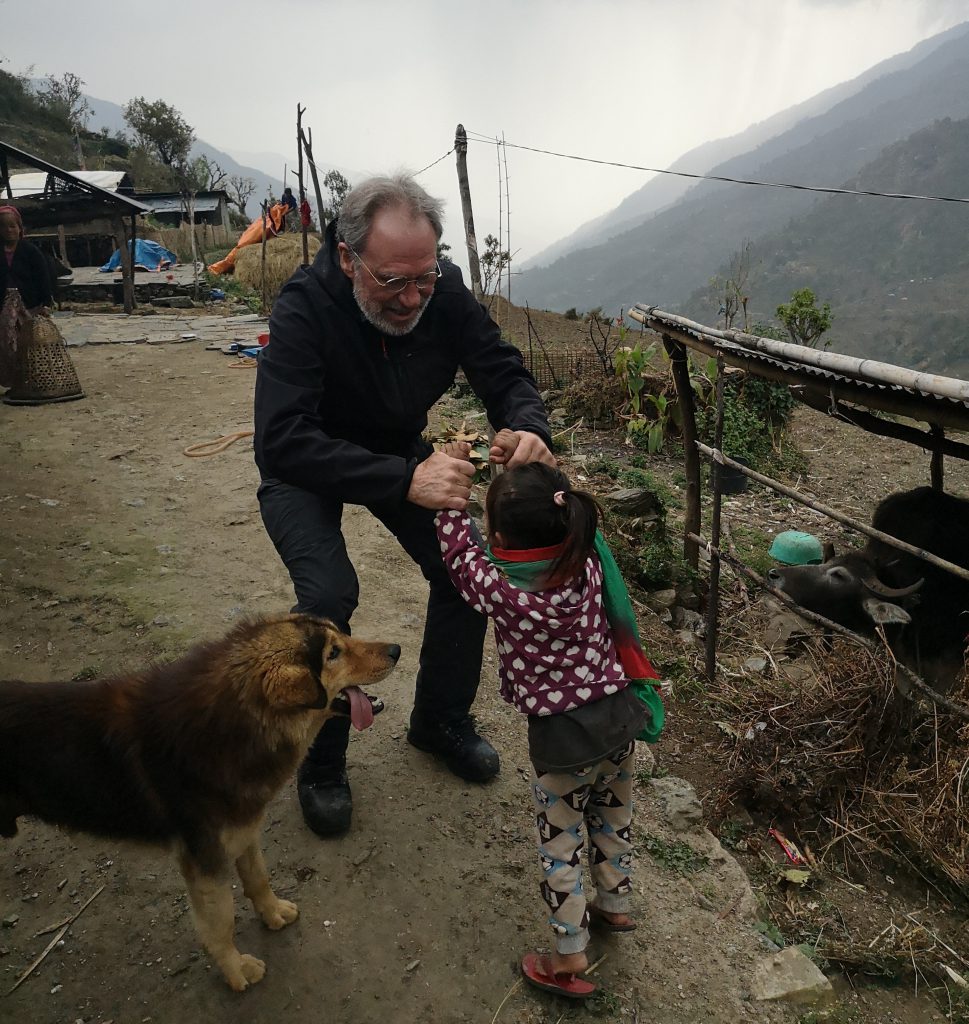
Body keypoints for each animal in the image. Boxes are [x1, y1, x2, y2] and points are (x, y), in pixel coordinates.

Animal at [0, 610, 399, 987]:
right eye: (333, 653)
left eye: (341, 635)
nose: (397, 649)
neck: (233, 725)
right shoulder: (204, 860)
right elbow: (221, 922)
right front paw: (236, 969)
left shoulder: (243, 830)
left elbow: (258, 878)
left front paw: (272, 913)